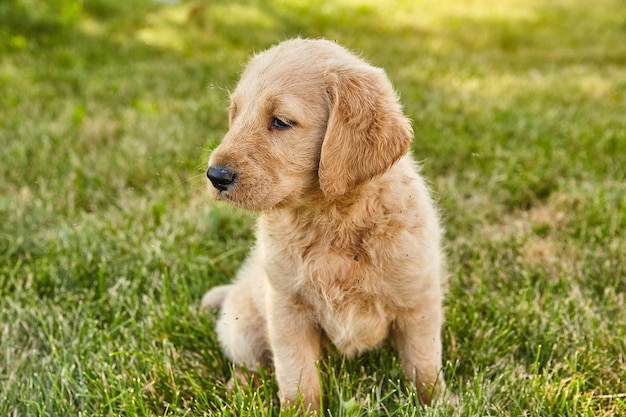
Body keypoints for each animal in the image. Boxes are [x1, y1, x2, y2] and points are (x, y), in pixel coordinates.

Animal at [202, 39, 446, 412]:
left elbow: (424, 365)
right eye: (235, 113)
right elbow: (297, 377)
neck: (332, 221)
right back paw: (240, 387)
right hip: (241, 327)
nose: (215, 176)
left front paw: (438, 404)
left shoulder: (418, 302)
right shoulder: (287, 309)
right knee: (249, 362)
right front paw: (300, 411)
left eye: (280, 122)